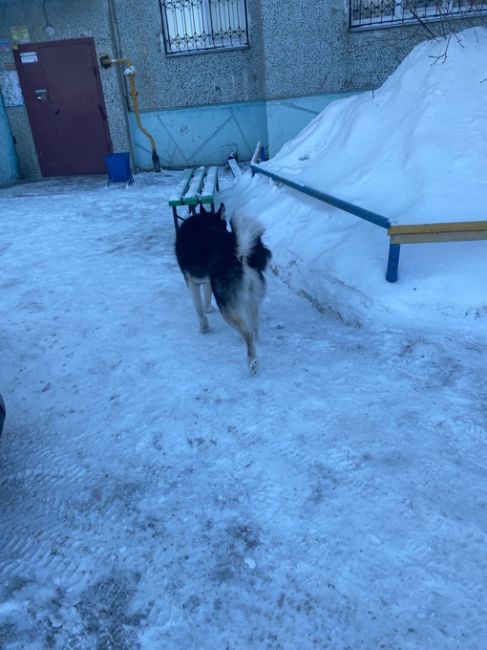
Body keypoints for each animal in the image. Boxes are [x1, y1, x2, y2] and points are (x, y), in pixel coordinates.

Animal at [175, 202, 272, 374]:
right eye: (225, 224)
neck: (205, 220)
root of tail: (239, 252)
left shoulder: (190, 281)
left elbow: (199, 308)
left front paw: (204, 328)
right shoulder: (208, 282)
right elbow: (206, 298)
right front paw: (208, 309)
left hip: (226, 305)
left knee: (248, 334)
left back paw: (252, 362)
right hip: (249, 299)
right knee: (253, 331)